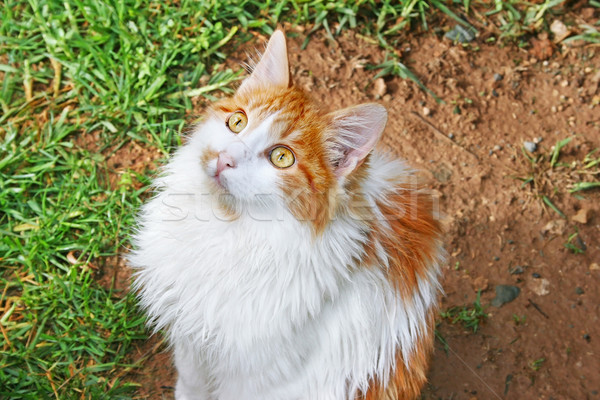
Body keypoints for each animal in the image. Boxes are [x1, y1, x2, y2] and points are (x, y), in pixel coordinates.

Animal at [129, 28, 442, 400]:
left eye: (281, 157)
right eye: (237, 122)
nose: (224, 158)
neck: (227, 228)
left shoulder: (253, 372)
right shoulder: (192, 336)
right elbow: (191, 378)